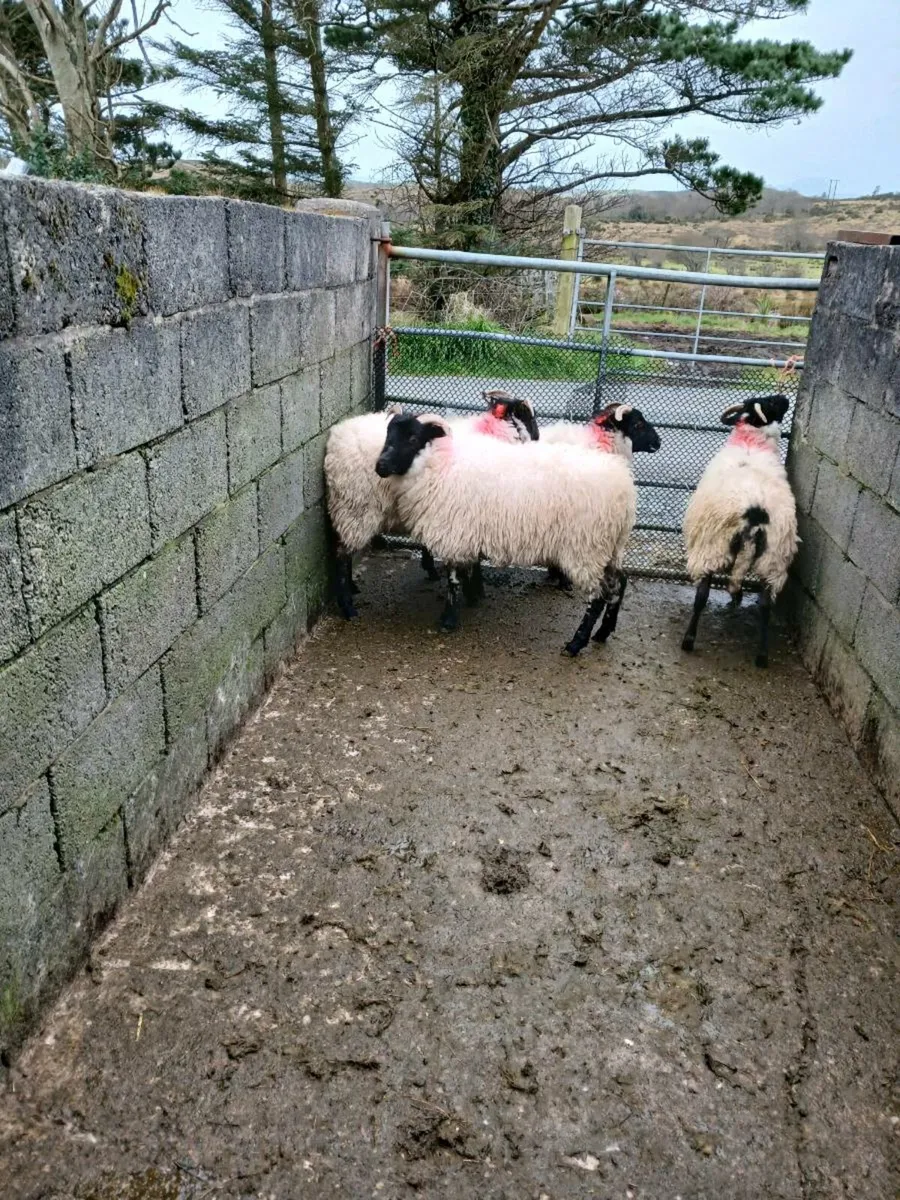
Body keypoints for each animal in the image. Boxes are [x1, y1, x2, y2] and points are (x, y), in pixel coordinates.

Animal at [325, 393, 538, 618]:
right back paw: (347, 606)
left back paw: (353, 587)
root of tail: (336, 439)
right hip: (355, 508)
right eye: (530, 417)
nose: (381, 466)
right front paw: (474, 591)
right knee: (342, 555)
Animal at [374, 412, 639, 655]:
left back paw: (576, 643)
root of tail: (625, 490)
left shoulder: (454, 534)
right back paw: (603, 632)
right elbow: (468, 570)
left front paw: (448, 619)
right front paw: (473, 597)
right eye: (388, 434)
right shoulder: (467, 534)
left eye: (412, 437)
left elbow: (453, 579)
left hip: (587, 547)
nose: (380, 466)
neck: (439, 463)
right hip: (610, 547)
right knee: (619, 583)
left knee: (598, 596)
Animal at [681, 393, 799, 668]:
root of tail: (756, 513)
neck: (751, 443)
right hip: (774, 560)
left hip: (712, 547)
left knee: (702, 595)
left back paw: (689, 640)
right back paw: (762, 655)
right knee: (765, 605)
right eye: (770, 402)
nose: (784, 398)